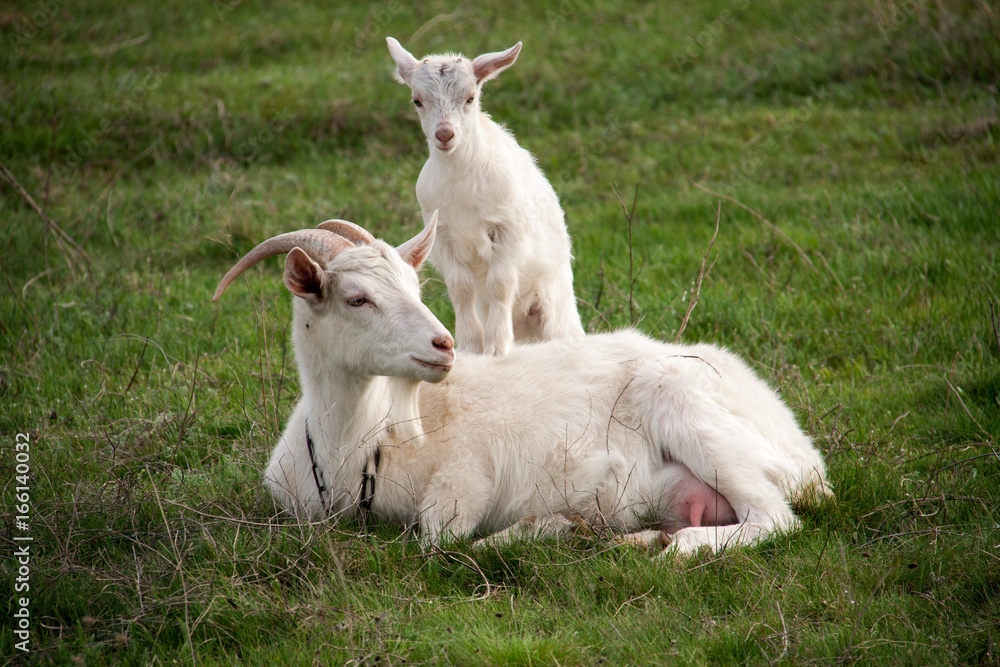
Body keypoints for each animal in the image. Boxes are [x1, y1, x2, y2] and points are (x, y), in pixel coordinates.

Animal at [213, 215, 832, 555]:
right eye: (356, 298)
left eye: (415, 286)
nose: (444, 345)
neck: (357, 445)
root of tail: (806, 454)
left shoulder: (467, 475)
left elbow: (438, 540)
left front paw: (550, 527)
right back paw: (637, 538)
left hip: (692, 414)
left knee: (774, 516)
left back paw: (670, 547)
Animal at [387, 37, 585, 357]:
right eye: (417, 100)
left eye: (470, 98)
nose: (444, 135)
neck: (461, 182)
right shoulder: (442, 233)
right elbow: (461, 288)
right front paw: (470, 346)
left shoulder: (508, 226)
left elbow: (499, 284)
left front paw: (496, 348)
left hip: (556, 306)